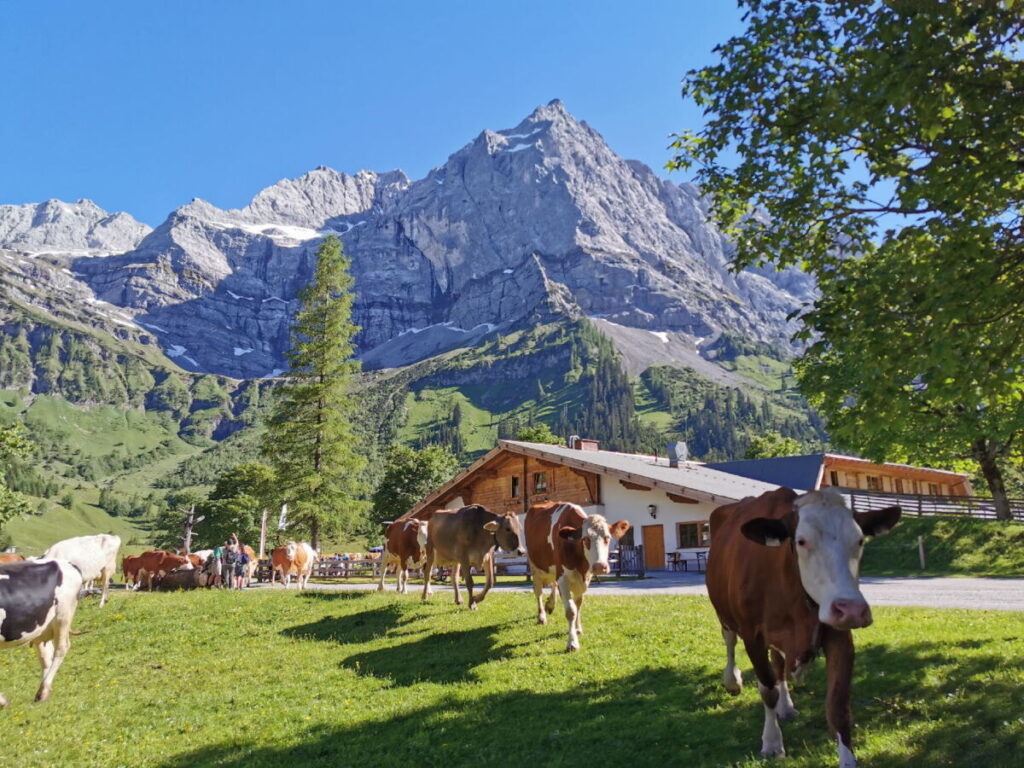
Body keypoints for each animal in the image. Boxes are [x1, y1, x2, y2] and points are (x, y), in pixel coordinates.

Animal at [0, 557, 83, 708]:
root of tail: (65, 563)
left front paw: (2, 701)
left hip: (63, 615)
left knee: (61, 649)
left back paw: (43, 692)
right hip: (42, 627)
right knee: (46, 656)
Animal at [524, 501, 626, 651]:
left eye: (607, 538)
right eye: (585, 539)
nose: (600, 566)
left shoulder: (585, 579)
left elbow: (578, 604)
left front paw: (577, 629)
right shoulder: (563, 578)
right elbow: (571, 611)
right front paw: (572, 642)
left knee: (553, 585)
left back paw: (551, 604)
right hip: (535, 566)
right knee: (538, 592)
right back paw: (542, 616)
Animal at [708, 489, 901, 765]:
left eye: (859, 541)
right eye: (801, 541)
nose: (852, 610)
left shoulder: (838, 634)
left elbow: (838, 707)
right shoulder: (753, 635)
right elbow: (767, 689)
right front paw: (772, 742)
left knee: (778, 663)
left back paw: (786, 706)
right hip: (723, 613)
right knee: (730, 641)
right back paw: (732, 680)